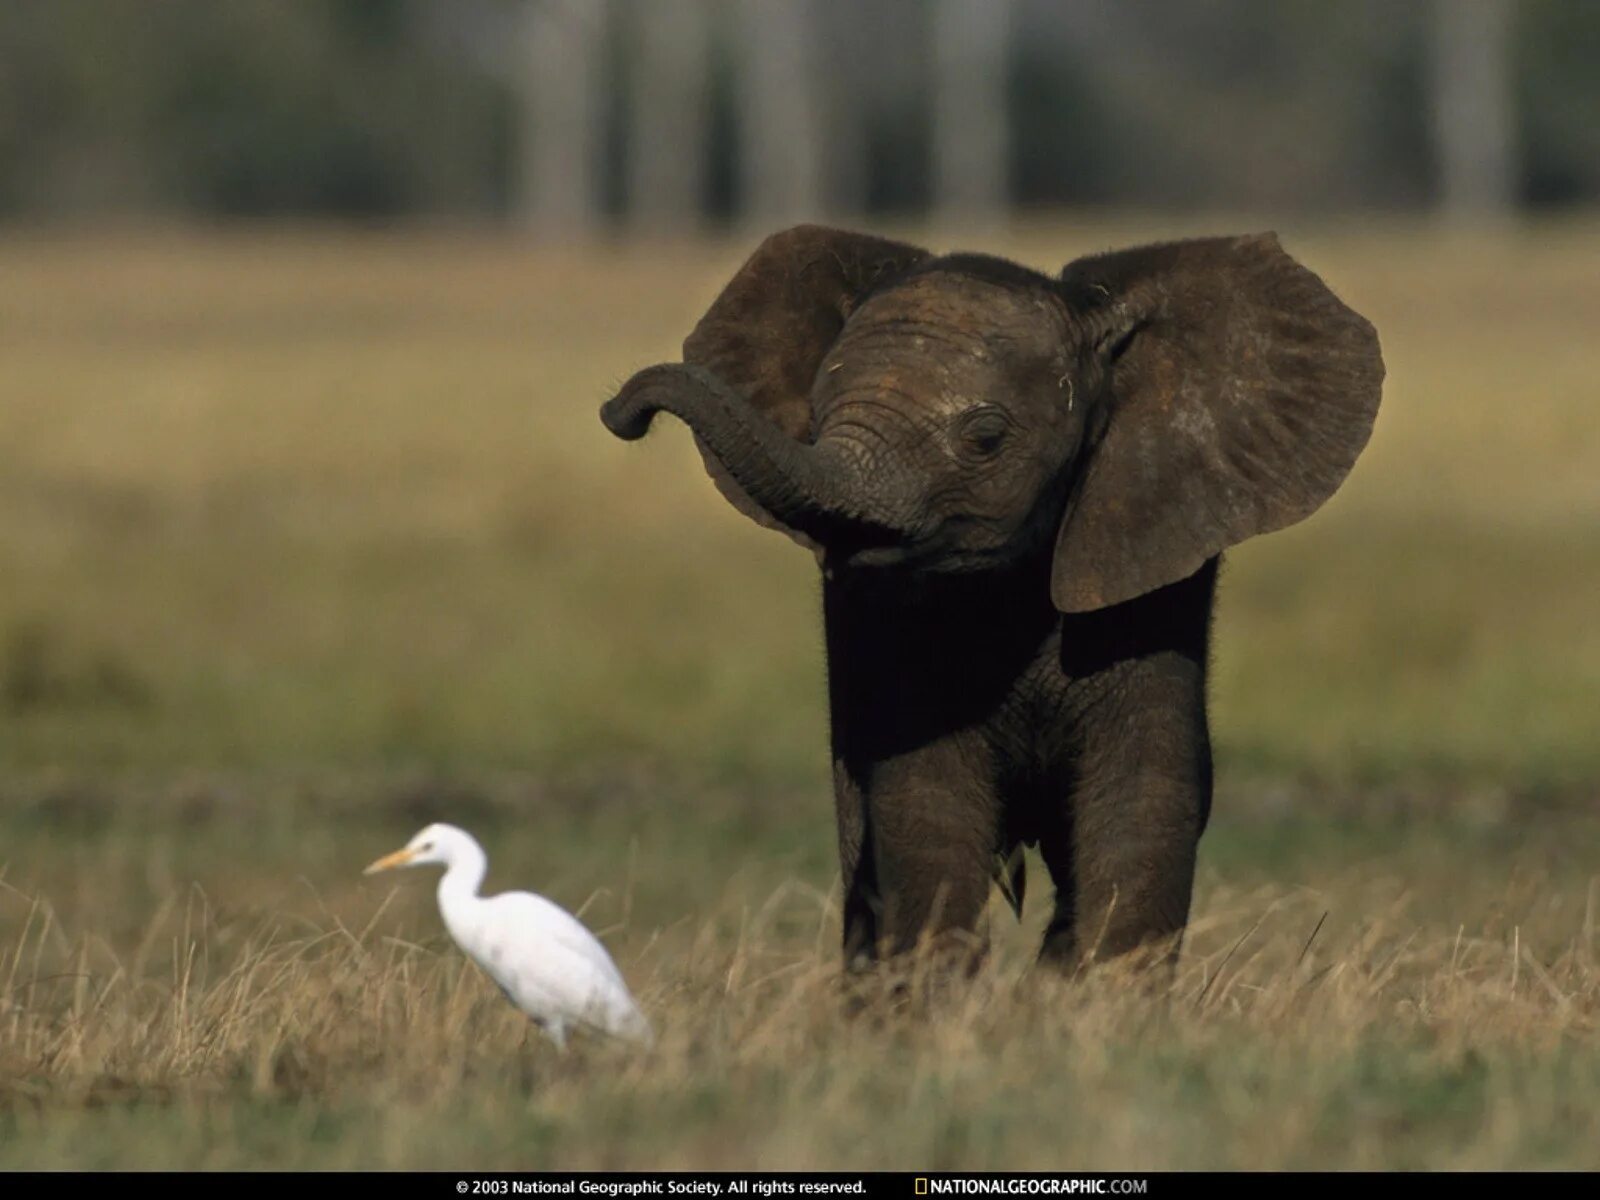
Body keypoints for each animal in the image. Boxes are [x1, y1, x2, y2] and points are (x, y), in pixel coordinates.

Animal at [601, 225, 1376, 979]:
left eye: (986, 438)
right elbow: (929, 806)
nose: (619, 412)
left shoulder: (1150, 575)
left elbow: (1140, 804)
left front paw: (1103, 1011)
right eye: (814, 421)